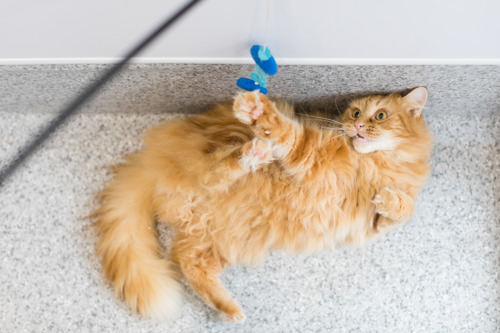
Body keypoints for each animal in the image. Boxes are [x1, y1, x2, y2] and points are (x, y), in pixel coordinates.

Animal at [94, 87, 434, 320]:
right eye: (354, 114)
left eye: (380, 115)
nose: (357, 127)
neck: (374, 163)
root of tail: (151, 162)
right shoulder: (311, 155)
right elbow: (285, 131)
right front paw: (259, 112)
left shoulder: (374, 222)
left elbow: (404, 208)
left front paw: (389, 197)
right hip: (222, 152)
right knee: (213, 173)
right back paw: (252, 154)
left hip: (222, 238)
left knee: (186, 259)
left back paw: (226, 307)